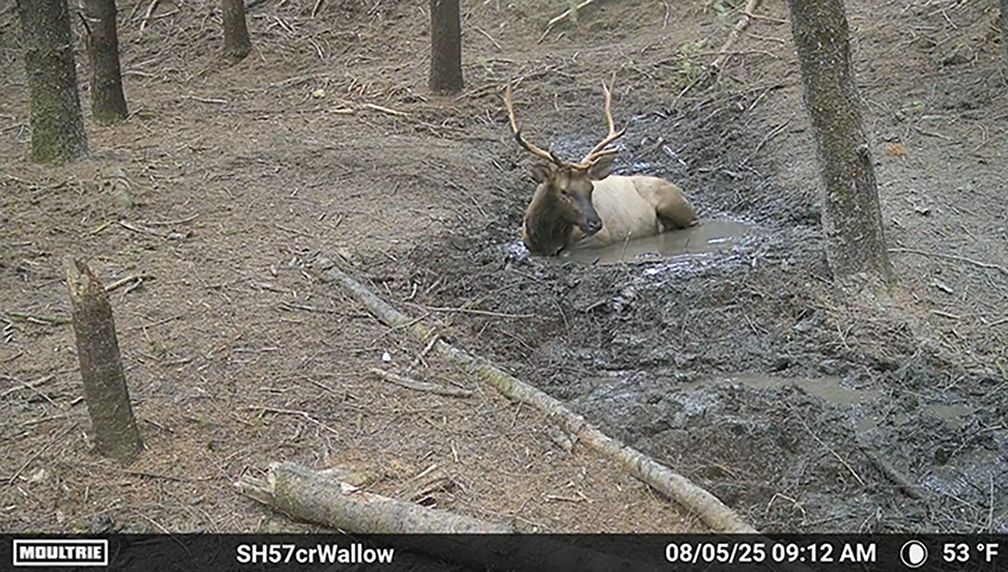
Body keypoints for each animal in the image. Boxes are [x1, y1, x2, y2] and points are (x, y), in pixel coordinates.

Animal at [504, 81, 698, 256]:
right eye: (563, 191)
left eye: (590, 187)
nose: (595, 223)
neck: (546, 238)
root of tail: (680, 191)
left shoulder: (602, 238)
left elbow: (569, 251)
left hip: (674, 205)